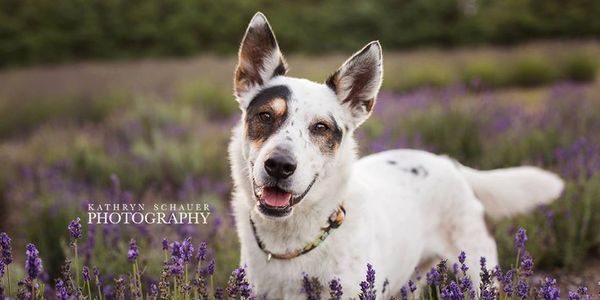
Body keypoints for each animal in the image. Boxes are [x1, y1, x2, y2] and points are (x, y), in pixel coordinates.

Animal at [227, 12, 564, 298]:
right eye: (265, 116)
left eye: (320, 127)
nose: (279, 165)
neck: (291, 240)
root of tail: (445, 161)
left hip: (479, 270)